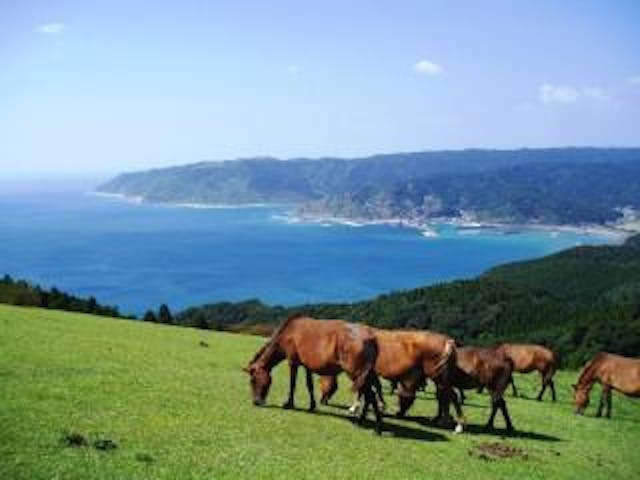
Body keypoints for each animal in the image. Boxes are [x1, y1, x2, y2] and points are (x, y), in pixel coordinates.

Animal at [244, 314, 384, 434]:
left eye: (253, 381)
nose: (256, 401)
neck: (289, 331)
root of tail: (371, 337)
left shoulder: (292, 362)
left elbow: (292, 384)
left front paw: (289, 404)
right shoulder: (307, 366)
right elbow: (309, 385)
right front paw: (312, 405)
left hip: (356, 374)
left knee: (370, 396)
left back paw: (373, 426)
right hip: (366, 376)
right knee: (371, 395)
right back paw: (367, 421)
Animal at [317, 328, 462, 429]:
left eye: (322, 383)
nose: (322, 401)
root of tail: (448, 341)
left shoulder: (366, 373)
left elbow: (366, 389)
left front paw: (356, 407)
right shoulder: (370, 375)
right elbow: (374, 389)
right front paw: (379, 406)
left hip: (439, 378)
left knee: (450, 396)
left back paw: (455, 424)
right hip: (441, 379)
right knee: (444, 397)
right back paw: (442, 419)